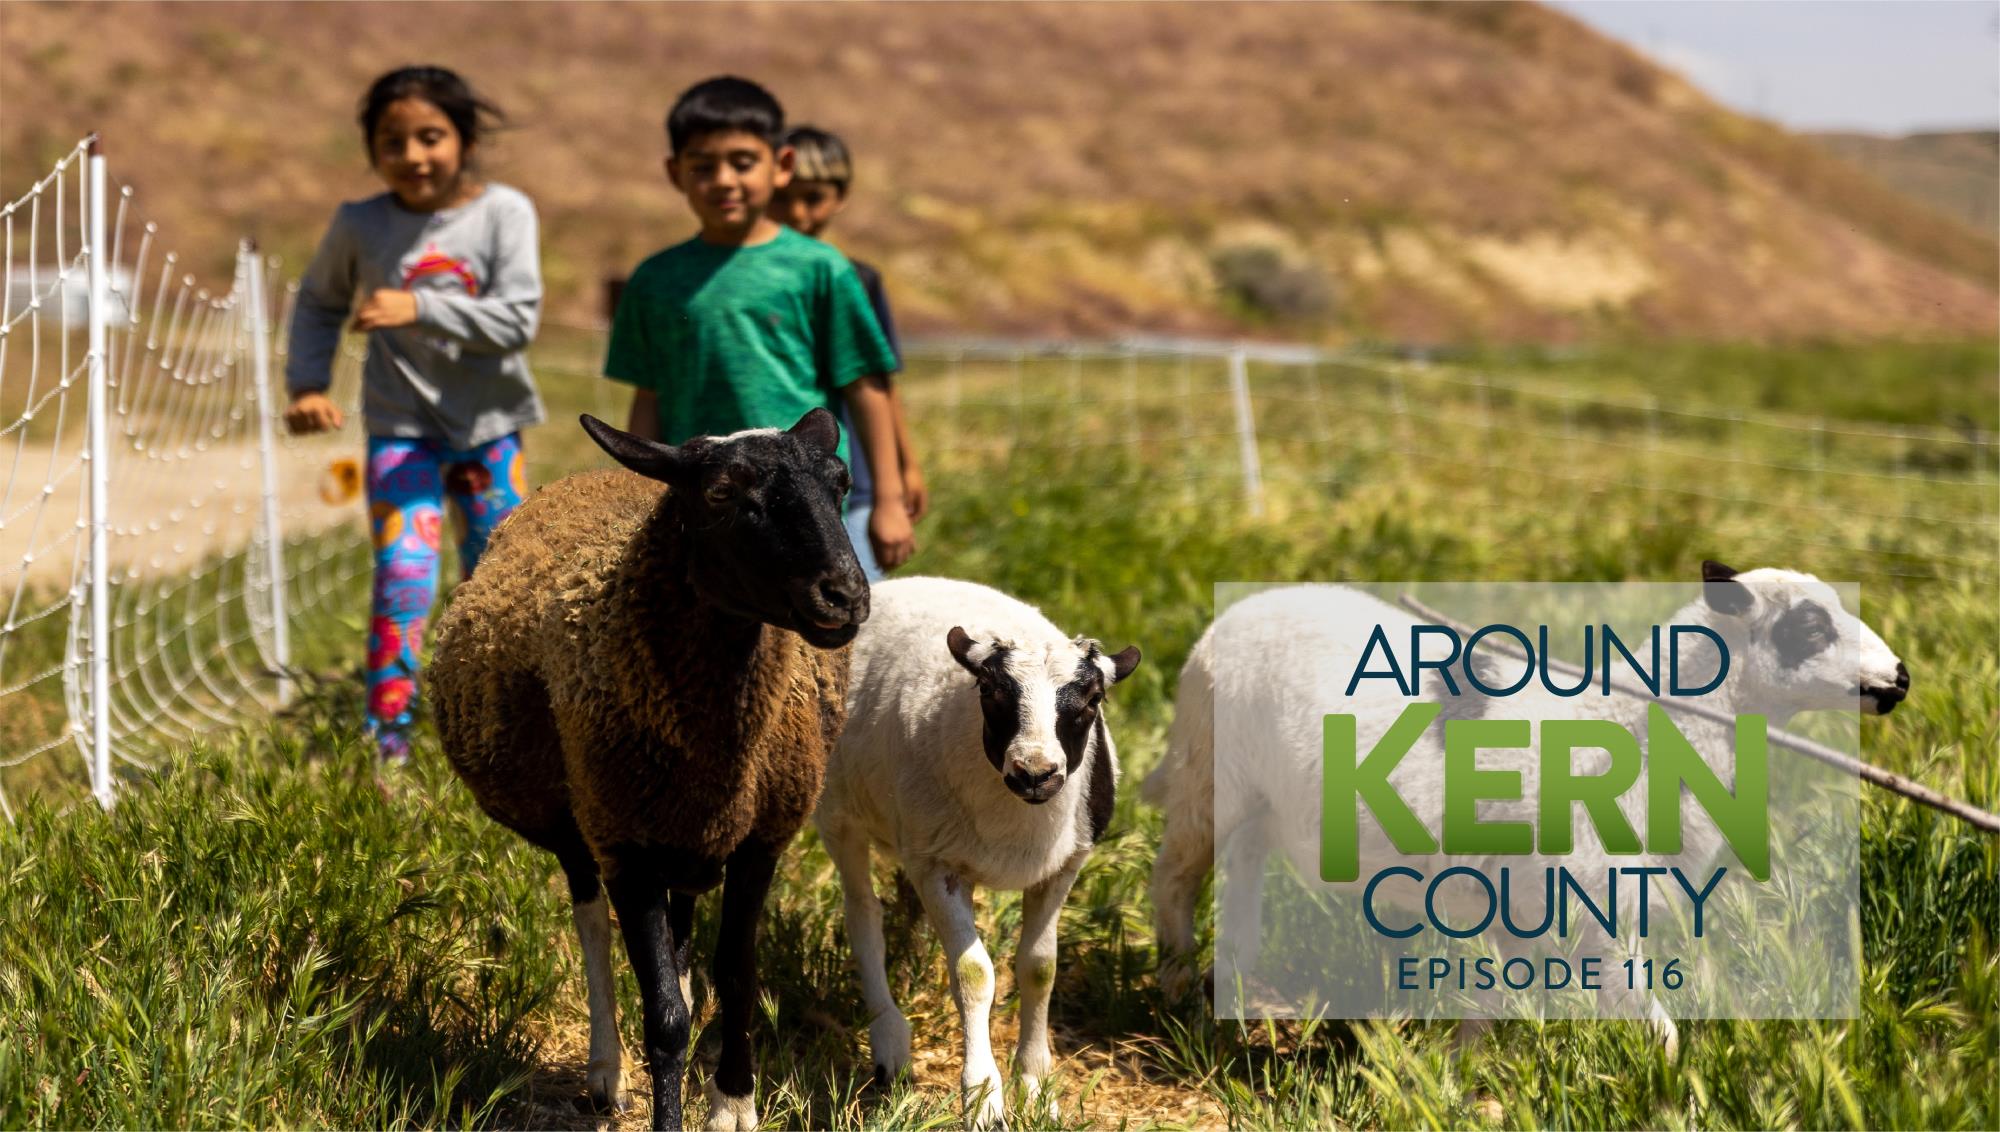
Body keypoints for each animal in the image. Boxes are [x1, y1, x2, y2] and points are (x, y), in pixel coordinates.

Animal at [427, 409, 868, 1132]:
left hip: (682, 833)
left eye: (841, 481)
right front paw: (670, 1108)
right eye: (720, 494)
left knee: (683, 934)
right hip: (586, 824)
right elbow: (663, 1016)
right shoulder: (625, 845)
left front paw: (733, 1102)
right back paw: (606, 1073)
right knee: (591, 928)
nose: (844, 597)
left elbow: (736, 974)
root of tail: (593, 473)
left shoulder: (760, 839)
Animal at [815, 576, 1140, 1130]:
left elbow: (1039, 968)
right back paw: (889, 1043)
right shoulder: (935, 865)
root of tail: (898, 583)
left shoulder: (1063, 866)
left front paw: (1036, 1086)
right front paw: (983, 1099)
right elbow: (973, 975)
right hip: (838, 812)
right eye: (990, 691)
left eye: (1093, 698)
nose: (1035, 773)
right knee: (862, 917)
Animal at [1145, 560, 1909, 1050]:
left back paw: (1231, 985)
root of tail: (1234, 613)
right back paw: (1178, 986)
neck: (1639, 729)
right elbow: (1657, 1031)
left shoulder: (1526, 897)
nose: (1900, 679)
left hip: (1261, 801)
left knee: (1242, 878)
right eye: (1810, 629)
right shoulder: (1597, 907)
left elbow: (1499, 999)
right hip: (1208, 779)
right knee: (1174, 879)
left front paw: (1463, 1076)